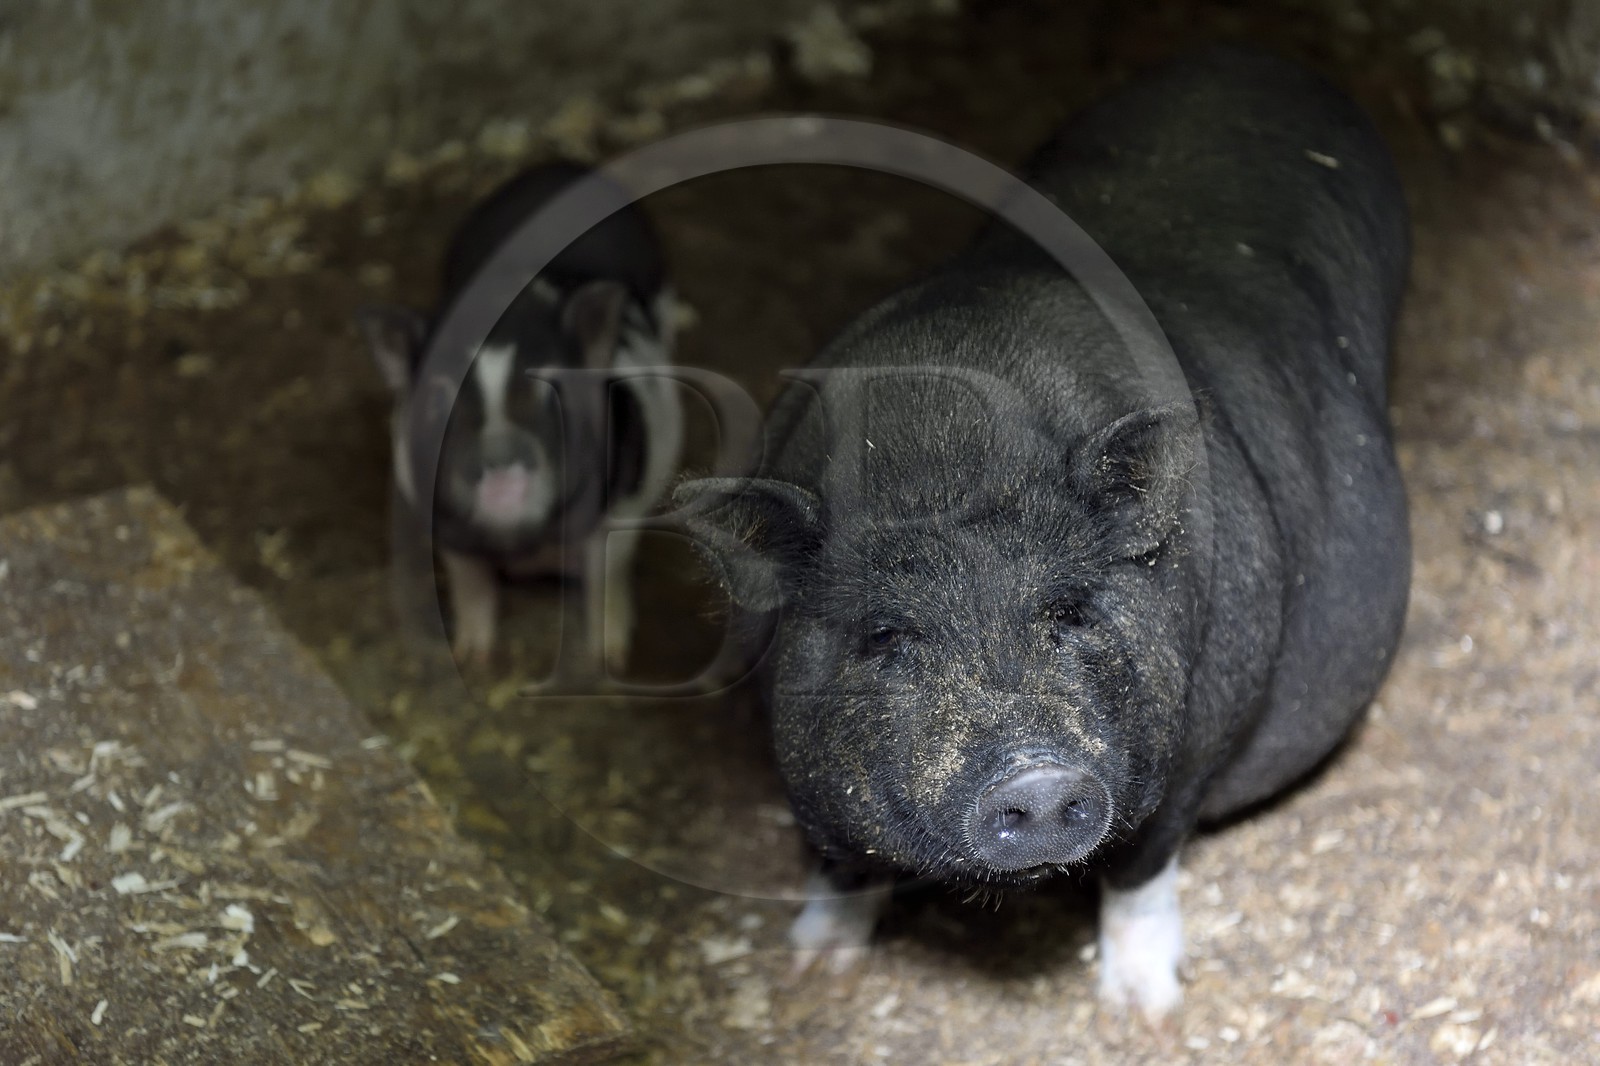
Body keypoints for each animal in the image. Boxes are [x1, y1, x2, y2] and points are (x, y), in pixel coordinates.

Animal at [361, 161, 684, 668]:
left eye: (551, 389)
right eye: (437, 396)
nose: (497, 458)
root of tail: (555, 169)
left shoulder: (620, 509)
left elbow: (607, 577)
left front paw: (609, 656)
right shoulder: (446, 529)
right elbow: (471, 581)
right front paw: (472, 655)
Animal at [675, 47, 1410, 1017]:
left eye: (1070, 611)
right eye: (884, 635)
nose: (1038, 775)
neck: (948, 463)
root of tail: (1251, 57)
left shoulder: (1196, 728)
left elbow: (1142, 864)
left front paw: (1145, 1013)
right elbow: (837, 857)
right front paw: (812, 970)